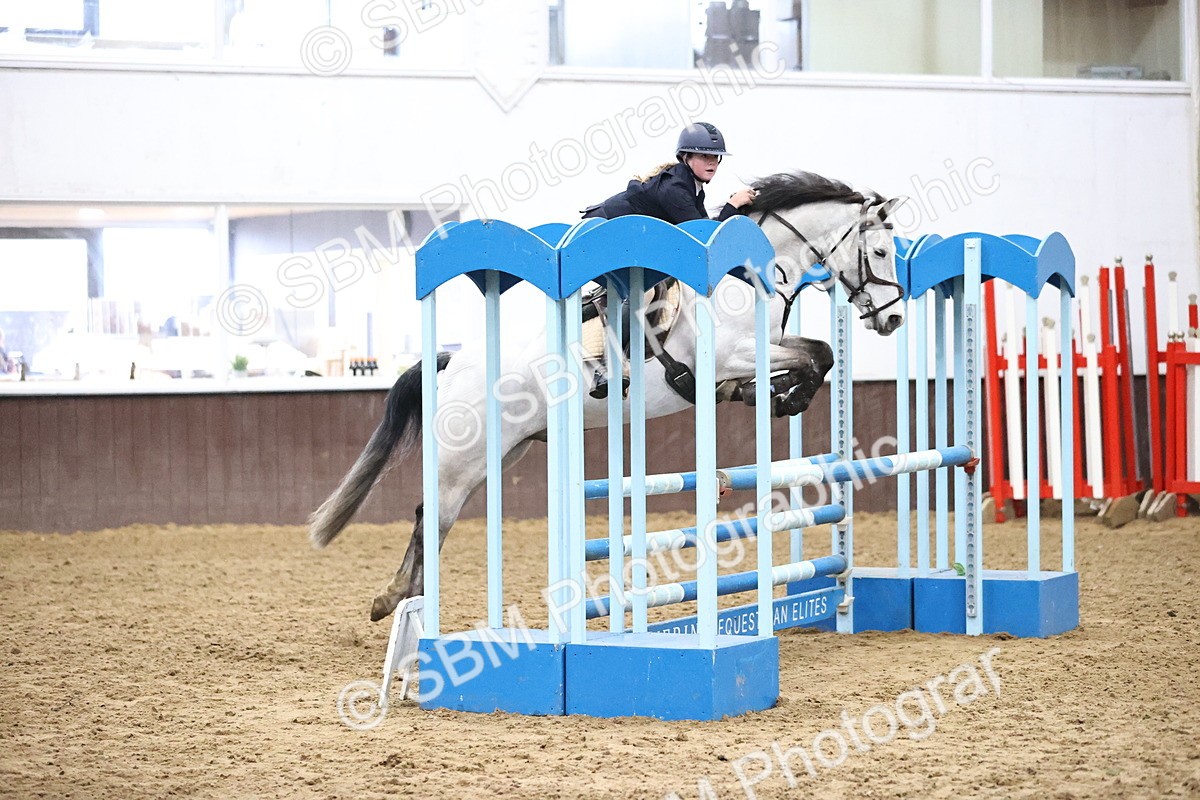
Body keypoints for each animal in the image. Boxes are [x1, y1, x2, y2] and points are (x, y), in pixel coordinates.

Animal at [309, 171, 907, 621]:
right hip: (465, 454)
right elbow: (810, 358)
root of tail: (454, 362)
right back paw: (395, 599)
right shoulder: (727, 354)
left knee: (432, 514)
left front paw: (779, 395)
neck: (747, 271)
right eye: (879, 250)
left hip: (506, 451)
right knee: (432, 513)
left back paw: (406, 598)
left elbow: (820, 354)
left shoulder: (760, 348)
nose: (894, 318)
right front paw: (784, 396)